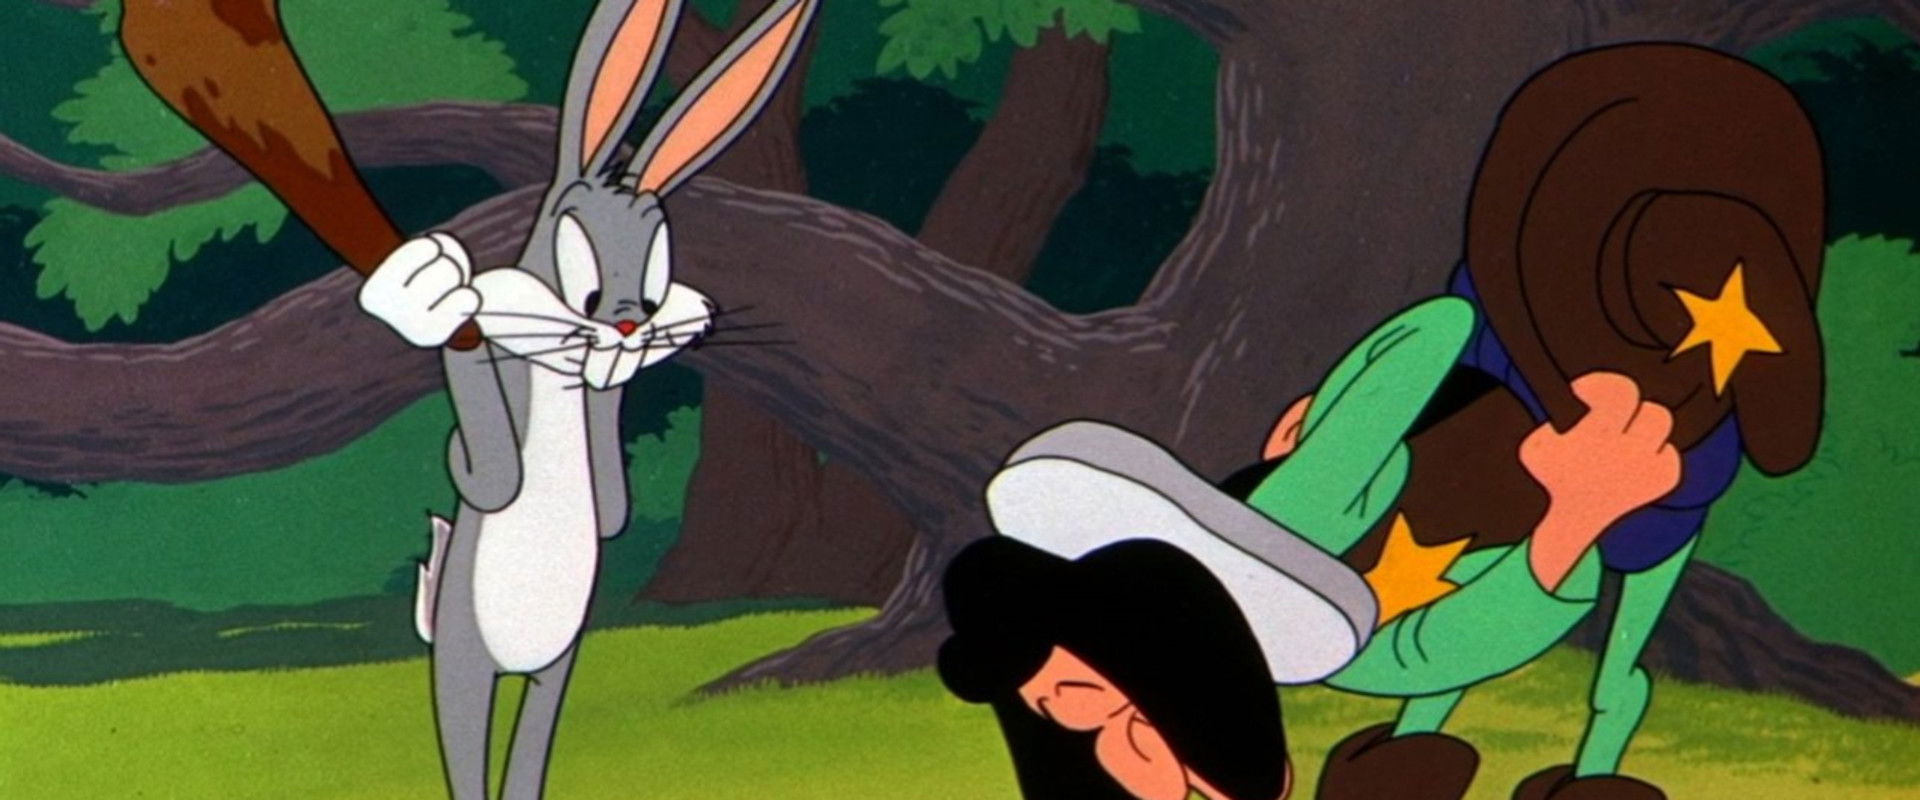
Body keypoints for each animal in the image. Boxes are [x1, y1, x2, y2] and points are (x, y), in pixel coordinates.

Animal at [357, 0, 818, 796]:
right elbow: (487, 472)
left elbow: (612, 511)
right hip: (467, 654)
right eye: (586, 280)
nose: (629, 323)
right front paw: (435, 297)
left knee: (531, 739)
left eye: (657, 277)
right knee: (466, 735)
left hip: (553, 662)